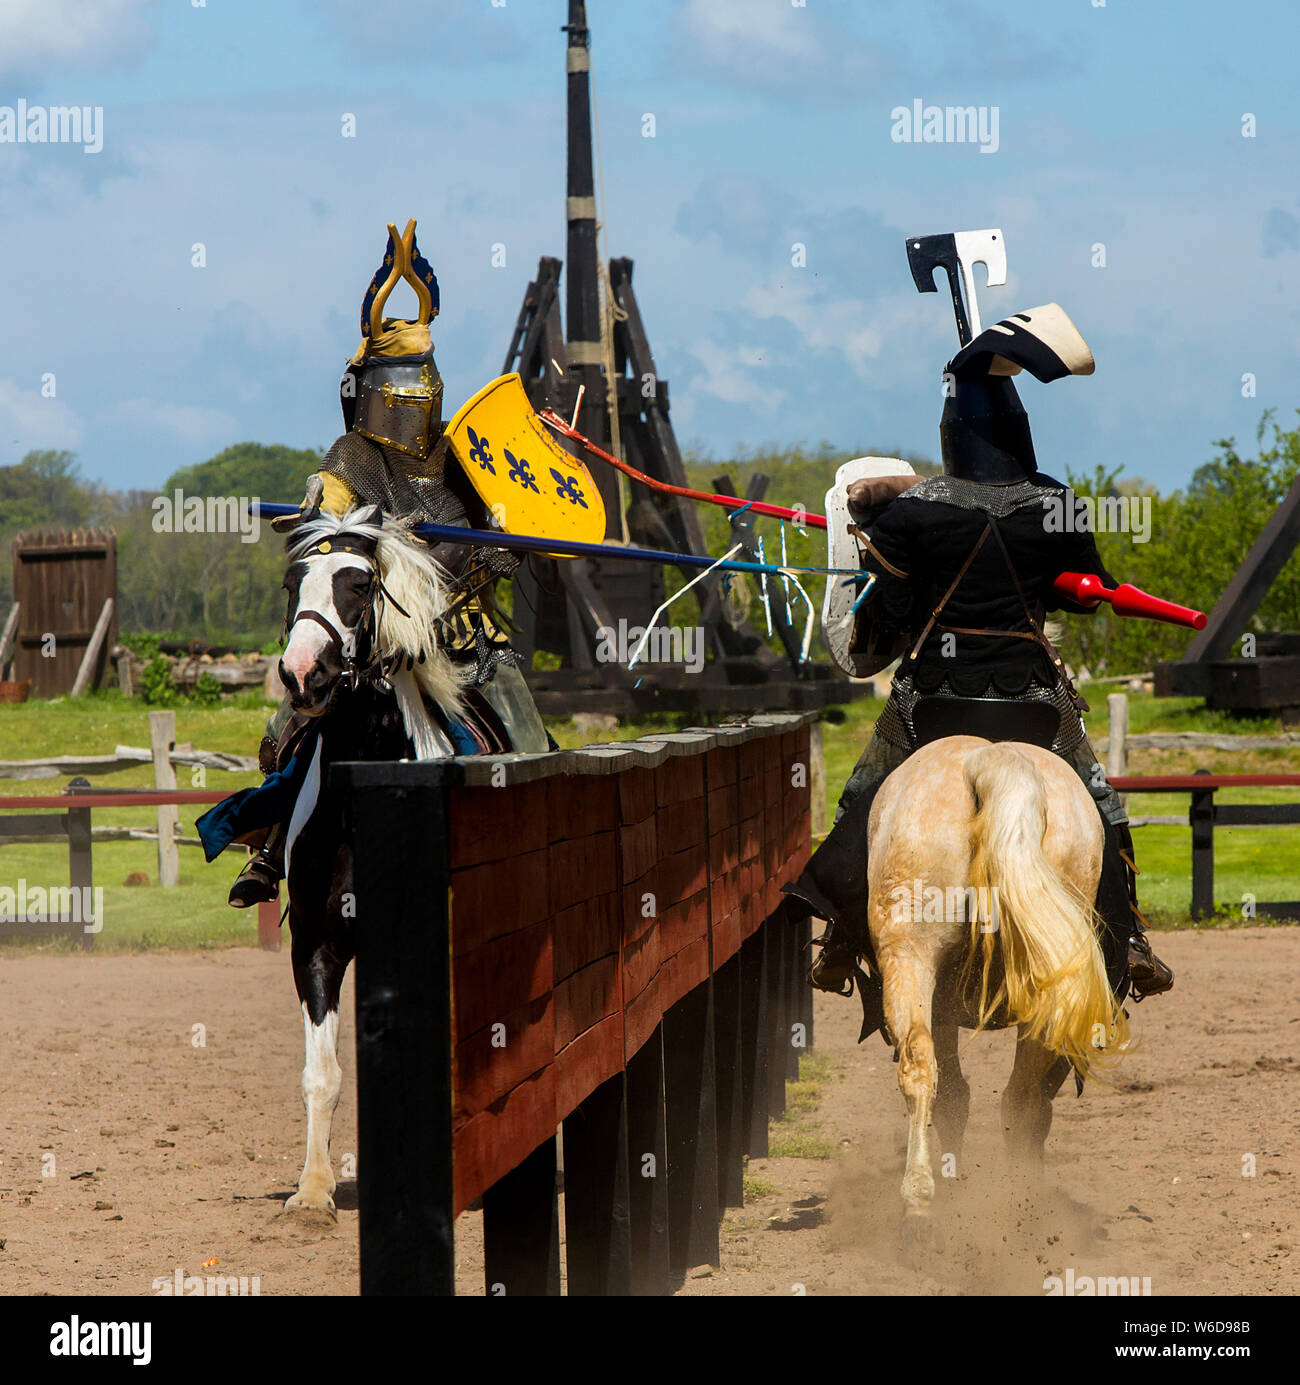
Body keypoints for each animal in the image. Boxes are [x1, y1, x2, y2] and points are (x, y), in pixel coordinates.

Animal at [271, 506, 465, 1213]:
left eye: (358, 585)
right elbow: (322, 1074)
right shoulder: (317, 948)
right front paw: (313, 1191)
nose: (303, 674)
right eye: (292, 584)